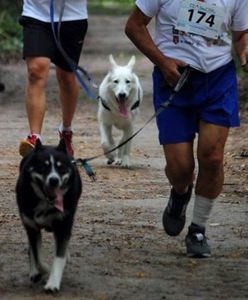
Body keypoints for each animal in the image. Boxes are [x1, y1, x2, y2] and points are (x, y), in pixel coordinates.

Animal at [16, 139, 82, 292]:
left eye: (61, 167)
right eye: (43, 167)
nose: (54, 180)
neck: (46, 203)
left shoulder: (64, 225)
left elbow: (59, 256)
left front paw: (53, 283)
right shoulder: (31, 227)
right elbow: (36, 255)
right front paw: (43, 269)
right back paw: (34, 272)